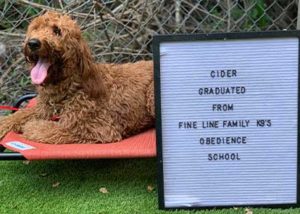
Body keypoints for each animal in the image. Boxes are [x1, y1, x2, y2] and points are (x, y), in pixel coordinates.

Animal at [0, 10, 155, 144]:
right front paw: (4, 124)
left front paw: (31, 127)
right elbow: (20, 114)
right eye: (35, 28)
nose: (33, 43)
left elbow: (42, 128)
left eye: (57, 31)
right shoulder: (43, 110)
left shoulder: (98, 128)